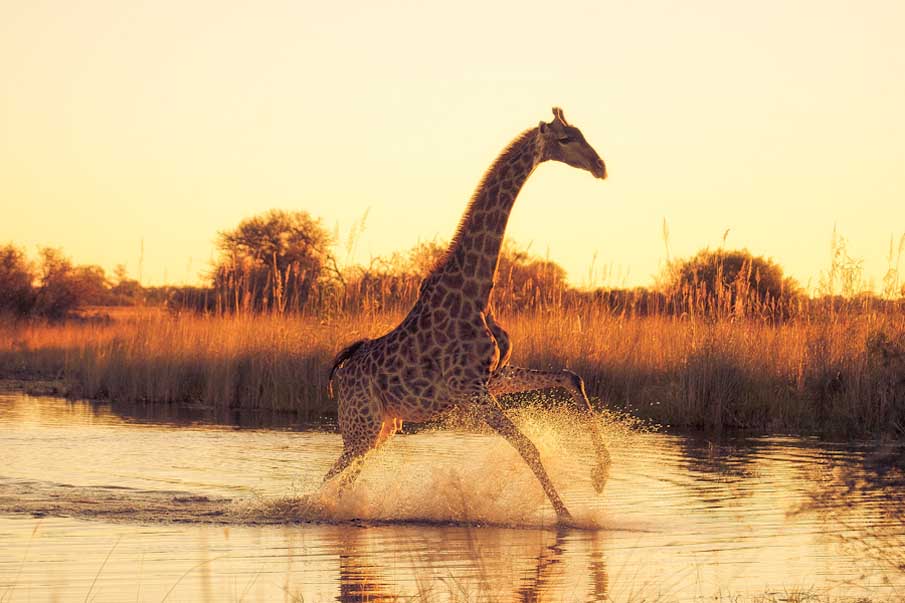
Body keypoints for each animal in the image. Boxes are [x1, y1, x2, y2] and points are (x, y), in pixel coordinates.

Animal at [326, 107, 607, 522]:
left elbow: (570, 376)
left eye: (582, 132)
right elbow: (528, 446)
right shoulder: (468, 389)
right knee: (329, 477)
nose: (600, 166)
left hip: (382, 428)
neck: (476, 292)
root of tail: (342, 373)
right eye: (566, 139)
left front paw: (601, 475)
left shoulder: (489, 377)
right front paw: (566, 516)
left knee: (342, 478)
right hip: (362, 427)